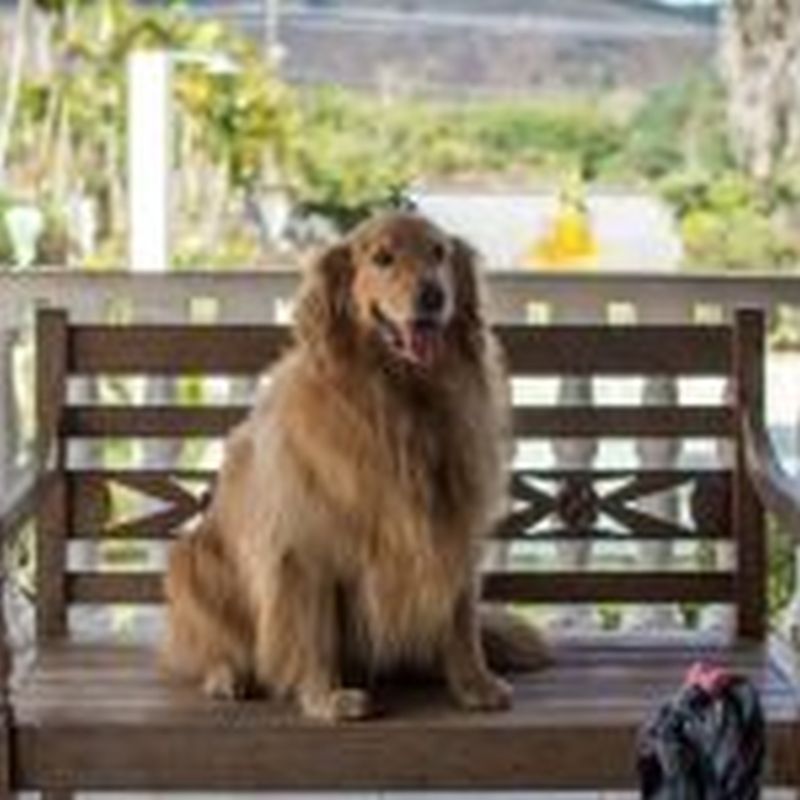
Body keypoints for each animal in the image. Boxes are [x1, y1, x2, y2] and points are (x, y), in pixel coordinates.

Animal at [161, 211, 547, 720]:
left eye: (439, 253)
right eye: (382, 258)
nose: (432, 295)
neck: (400, 402)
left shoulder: (454, 528)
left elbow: (461, 619)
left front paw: (474, 683)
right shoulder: (304, 547)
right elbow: (314, 630)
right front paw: (325, 696)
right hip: (191, 564)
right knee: (215, 646)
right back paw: (229, 676)